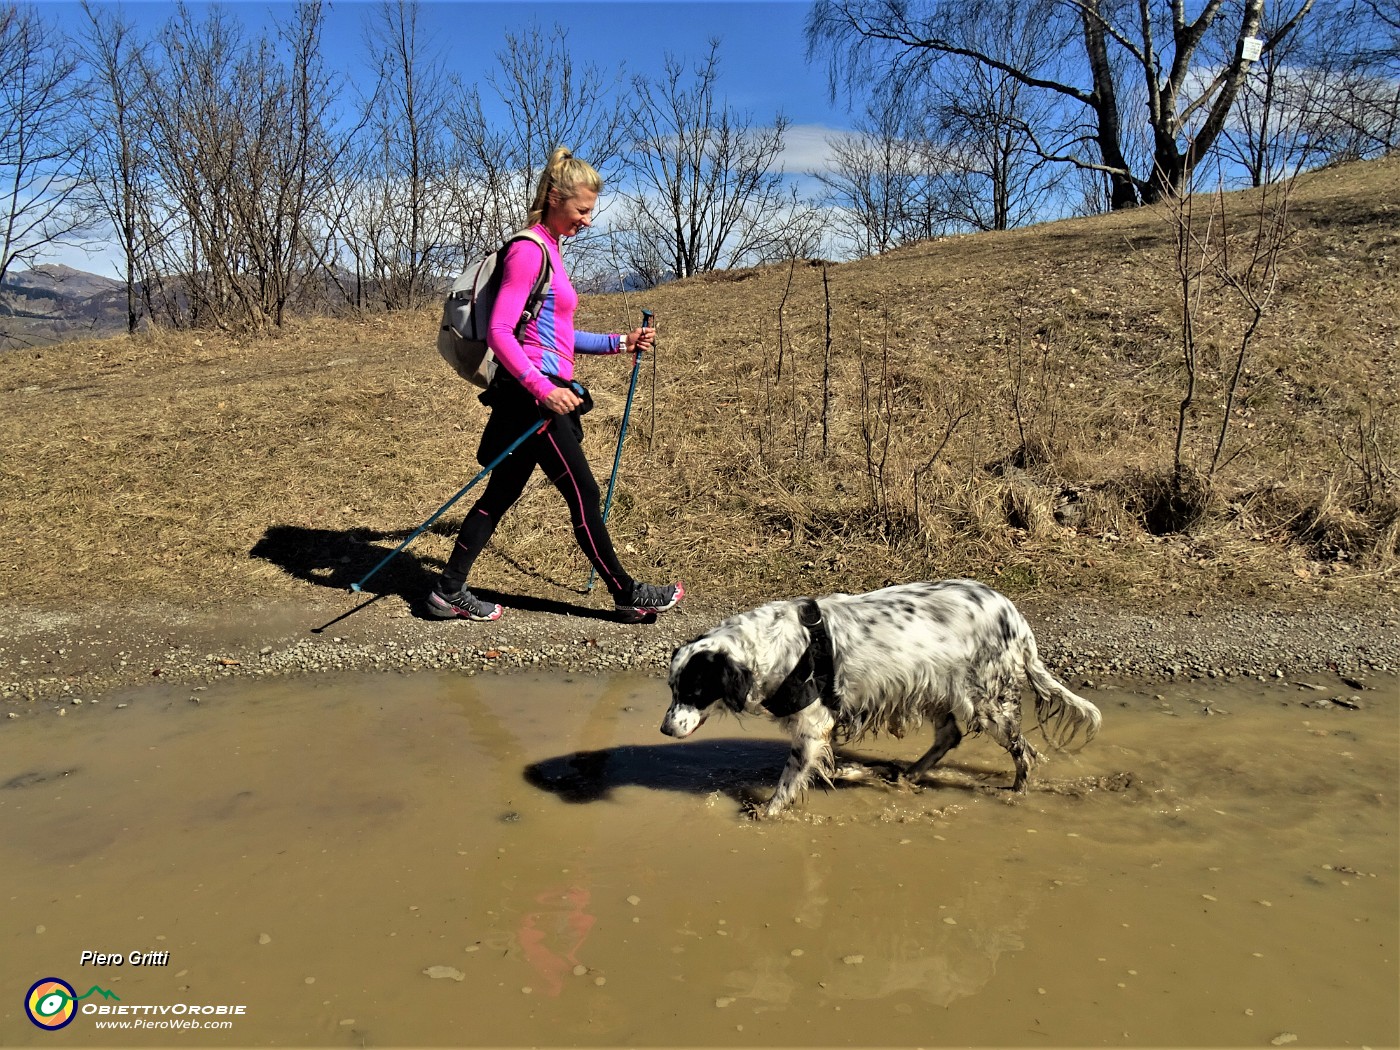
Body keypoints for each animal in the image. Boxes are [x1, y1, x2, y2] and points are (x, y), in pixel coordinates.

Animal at [660, 579, 1097, 817]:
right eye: (672, 689)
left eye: (694, 691)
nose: (664, 729)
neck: (770, 647)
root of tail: (1015, 616)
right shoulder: (824, 727)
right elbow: (833, 768)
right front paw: (861, 773)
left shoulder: (813, 725)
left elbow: (789, 780)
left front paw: (767, 813)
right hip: (938, 689)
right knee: (949, 737)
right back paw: (909, 775)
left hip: (989, 704)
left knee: (1025, 752)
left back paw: (1017, 792)